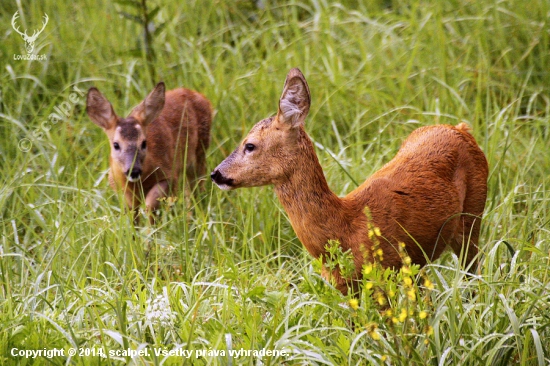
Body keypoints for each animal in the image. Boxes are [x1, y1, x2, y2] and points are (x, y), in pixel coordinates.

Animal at [87, 82, 212, 223]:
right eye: (116, 145)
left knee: (194, 190)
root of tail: (199, 95)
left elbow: (151, 205)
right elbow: (131, 214)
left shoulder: (169, 175)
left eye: (144, 143)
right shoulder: (118, 187)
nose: (134, 170)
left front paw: (151, 229)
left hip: (200, 153)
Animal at [212, 68, 492, 294]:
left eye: (249, 145)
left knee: (474, 270)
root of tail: (461, 128)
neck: (344, 228)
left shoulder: (387, 271)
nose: (216, 174)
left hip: (473, 212)